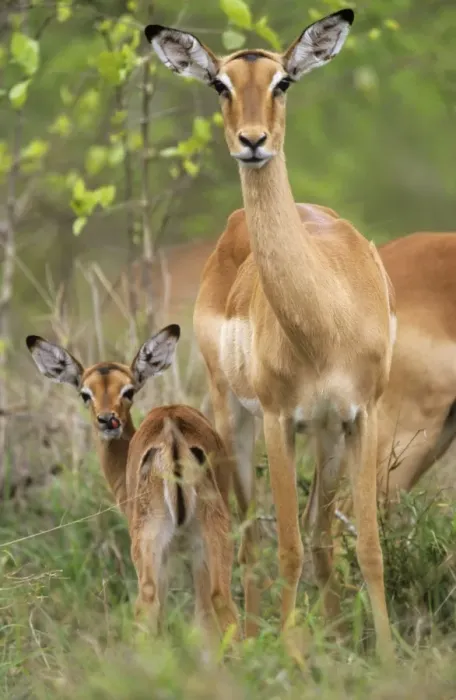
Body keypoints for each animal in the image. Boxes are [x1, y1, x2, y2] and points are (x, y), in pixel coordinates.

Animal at [25, 326, 239, 640]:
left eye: (128, 390)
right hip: (211, 539)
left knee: (150, 606)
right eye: (85, 393)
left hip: (153, 545)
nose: (107, 420)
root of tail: (172, 436)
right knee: (221, 603)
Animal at [146, 9, 396, 658]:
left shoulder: (361, 416)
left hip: (325, 435)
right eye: (220, 85)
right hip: (232, 414)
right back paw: (251, 641)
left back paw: (328, 636)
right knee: (249, 533)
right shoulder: (281, 420)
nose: (253, 142)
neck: (325, 319)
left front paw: (385, 657)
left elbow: (365, 545)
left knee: (319, 531)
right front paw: (290, 657)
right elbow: (285, 547)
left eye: (284, 81)